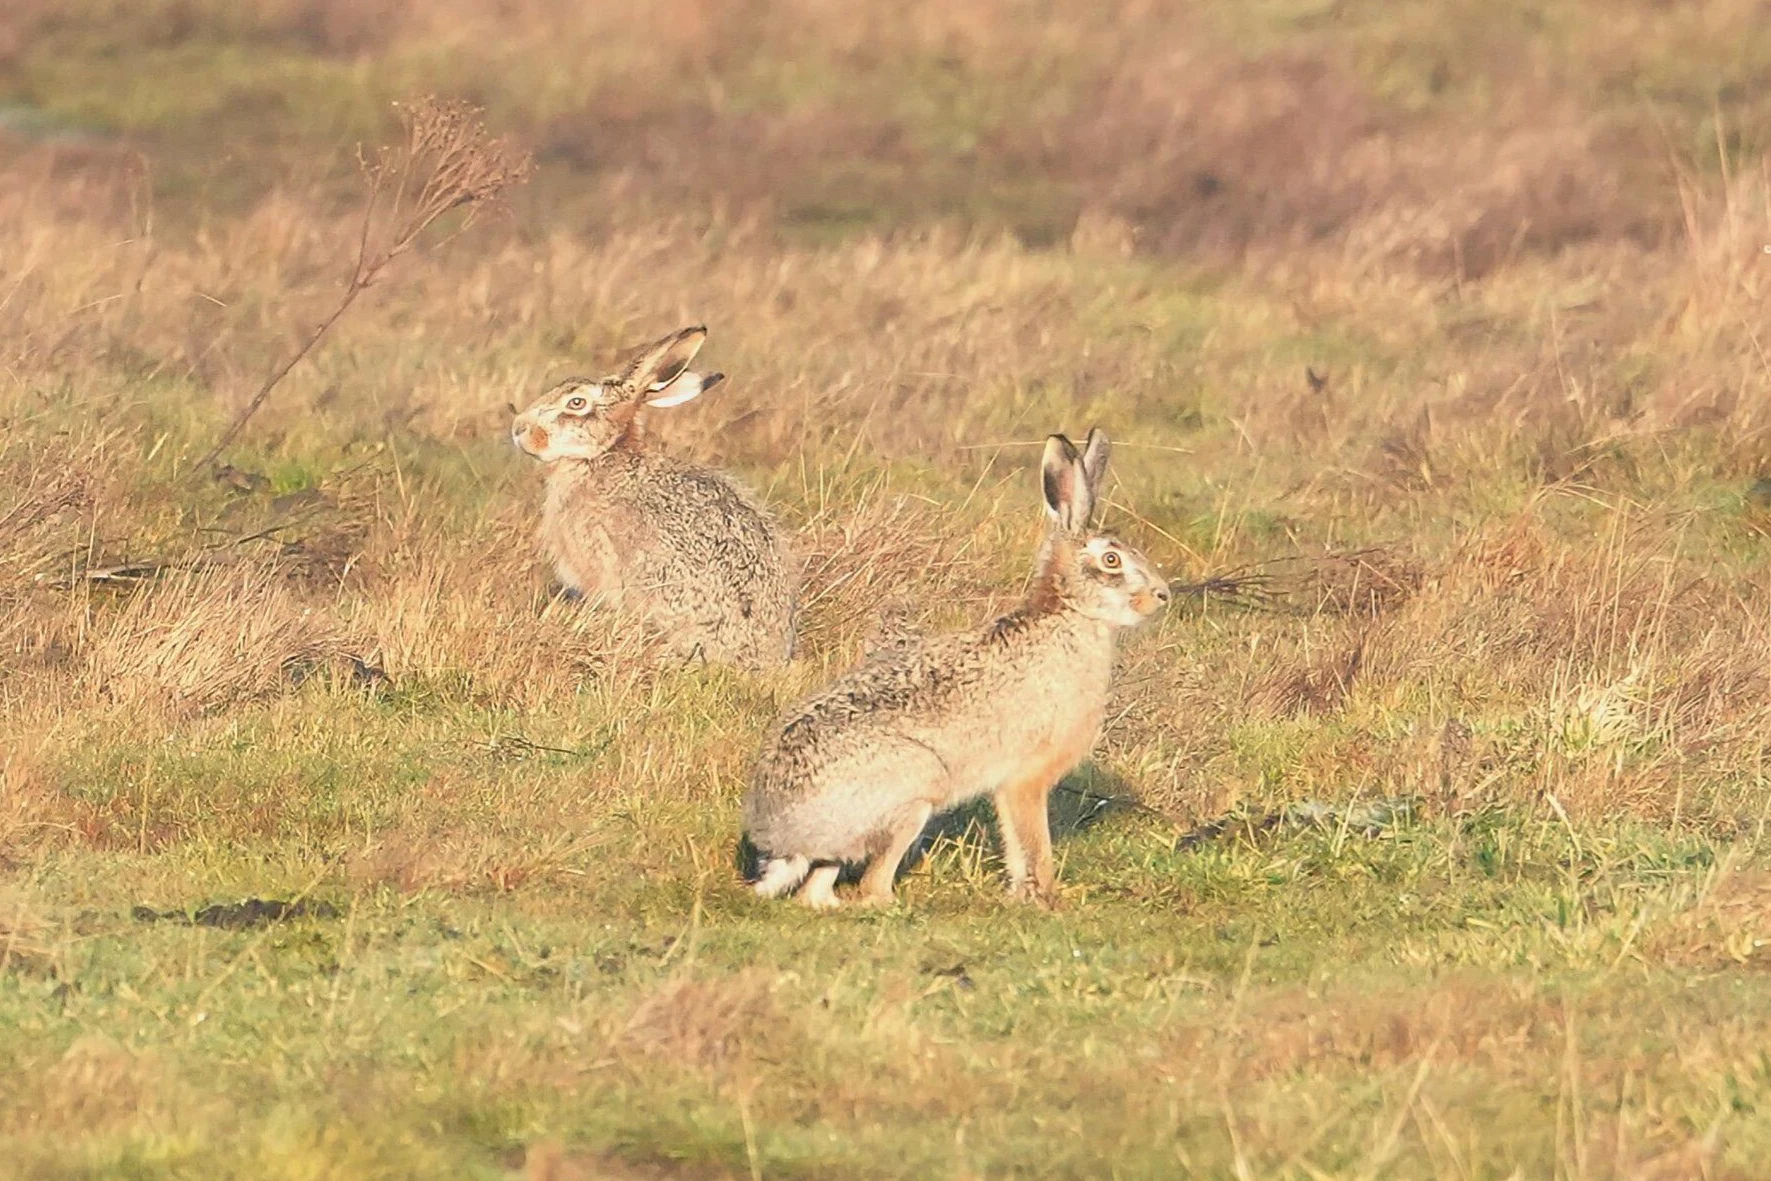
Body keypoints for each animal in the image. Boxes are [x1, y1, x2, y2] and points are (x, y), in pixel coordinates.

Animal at [742, 428, 1169, 909]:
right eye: (1111, 560)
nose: (1163, 595)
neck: (1071, 613)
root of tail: (781, 836)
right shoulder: (1025, 776)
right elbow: (1033, 843)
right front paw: (1048, 899)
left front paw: (1021, 896)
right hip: (916, 790)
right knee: (872, 887)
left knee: (815, 890)